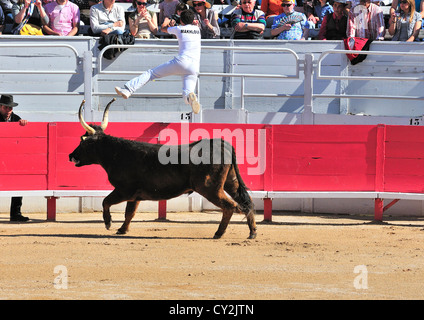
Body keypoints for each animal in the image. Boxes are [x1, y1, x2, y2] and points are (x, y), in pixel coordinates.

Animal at [68, 100, 256, 240]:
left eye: (82, 141)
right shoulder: (134, 195)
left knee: (230, 206)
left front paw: (108, 223)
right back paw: (252, 232)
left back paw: (218, 233)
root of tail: (222, 143)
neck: (117, 153)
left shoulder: (123, 190)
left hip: (210, 188)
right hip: (230, 183)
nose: (71, 155)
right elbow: (129, 213)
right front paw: (122, 230)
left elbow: (106, 202)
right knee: (246, 202)